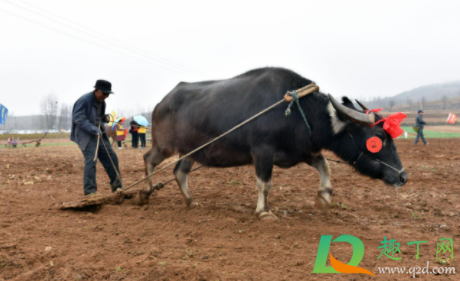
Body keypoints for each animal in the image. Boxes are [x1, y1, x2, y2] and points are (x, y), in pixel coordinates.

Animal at [143, 67, 406, 219]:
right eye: (379, 139)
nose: (402, 176)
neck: (299, 111)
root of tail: (160, 104)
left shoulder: (303, 150)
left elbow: (326, 167)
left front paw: (324, 197)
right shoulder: (262, 152)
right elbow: (265, 183)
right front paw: (264, 211)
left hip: (189, 152)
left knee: (179, 172)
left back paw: (190, 201)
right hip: (164, 145)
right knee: (149, 159)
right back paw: (144, 191)